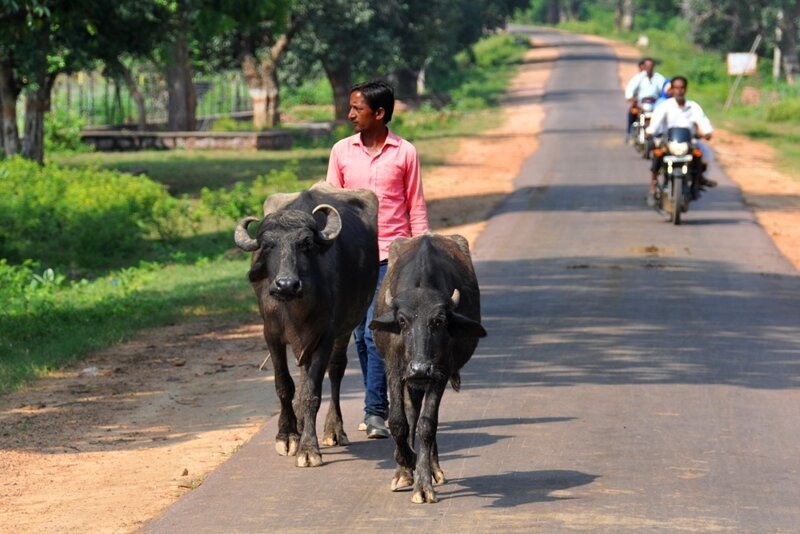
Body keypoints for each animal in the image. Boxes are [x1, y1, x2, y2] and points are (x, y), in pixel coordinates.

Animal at [233, 183, 380, 468]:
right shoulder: (272, 335)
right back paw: (300, 425)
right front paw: (288, 435)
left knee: (336, 371)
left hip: (346, 328)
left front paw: (309, 448)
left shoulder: (326, 336)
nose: (286, 285)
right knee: (301, 374)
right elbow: (284, 385)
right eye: (268, 245)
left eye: (306, 243)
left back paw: (334, 430)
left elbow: (312, 391)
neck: (294, 307)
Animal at [370, 233, 488, 502]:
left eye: (439, 321)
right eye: (402, 321)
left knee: (425, 419)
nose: (420, 369)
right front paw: (405, 461)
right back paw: (404, 471)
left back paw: (434, 469)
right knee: (411, 413)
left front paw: (423, 483)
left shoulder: (439, 374)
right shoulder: (394, 369)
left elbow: (428, 424)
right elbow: (398, 421)